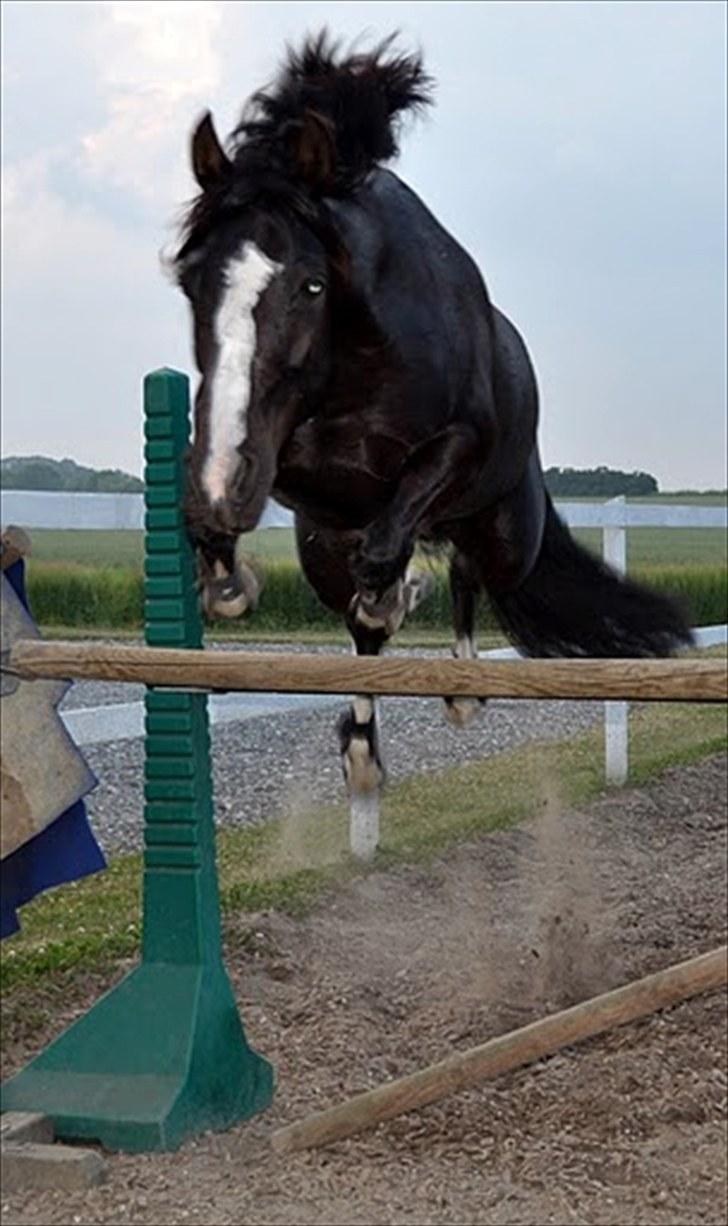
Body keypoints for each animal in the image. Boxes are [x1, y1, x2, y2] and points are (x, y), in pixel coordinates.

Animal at [171, 33, 692, 805]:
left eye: (312, 284)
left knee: (471, 571)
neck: (358, 360)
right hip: (321, 546)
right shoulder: (305, 481)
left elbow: (392, 544)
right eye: (190, 281)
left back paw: (461, 685)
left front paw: (397, 592)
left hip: (509, 536)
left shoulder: (456, 448)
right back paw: (363, 749)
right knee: (368, 620)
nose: (220, 485)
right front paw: (228, 577)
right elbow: (307, 566)